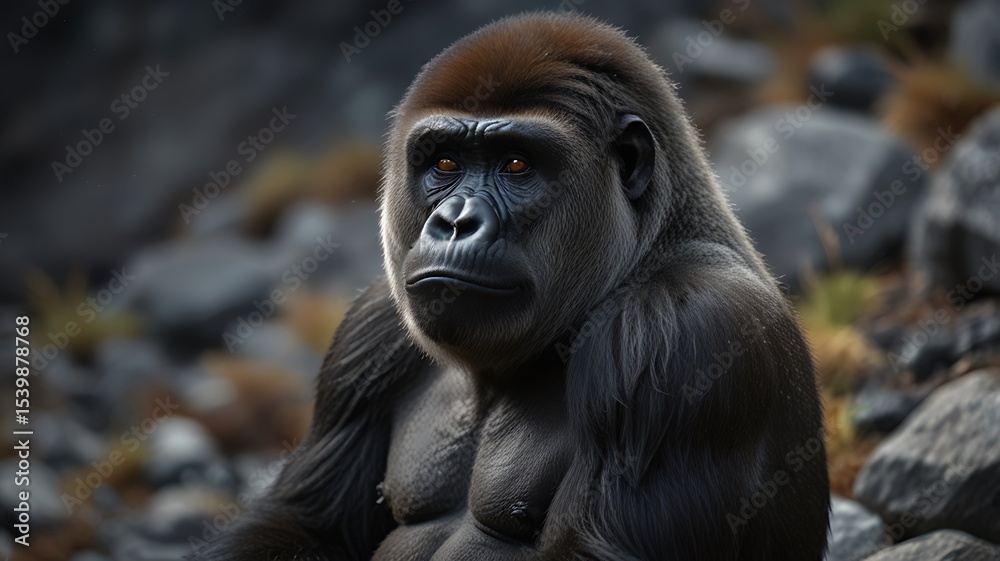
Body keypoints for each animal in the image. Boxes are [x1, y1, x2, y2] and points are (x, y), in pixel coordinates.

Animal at [196, 12, 829, 561]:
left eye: (517, 165)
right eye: (445, 162)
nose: (455, 222)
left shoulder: (683, 330)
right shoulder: (371, 330)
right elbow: (303, 522)